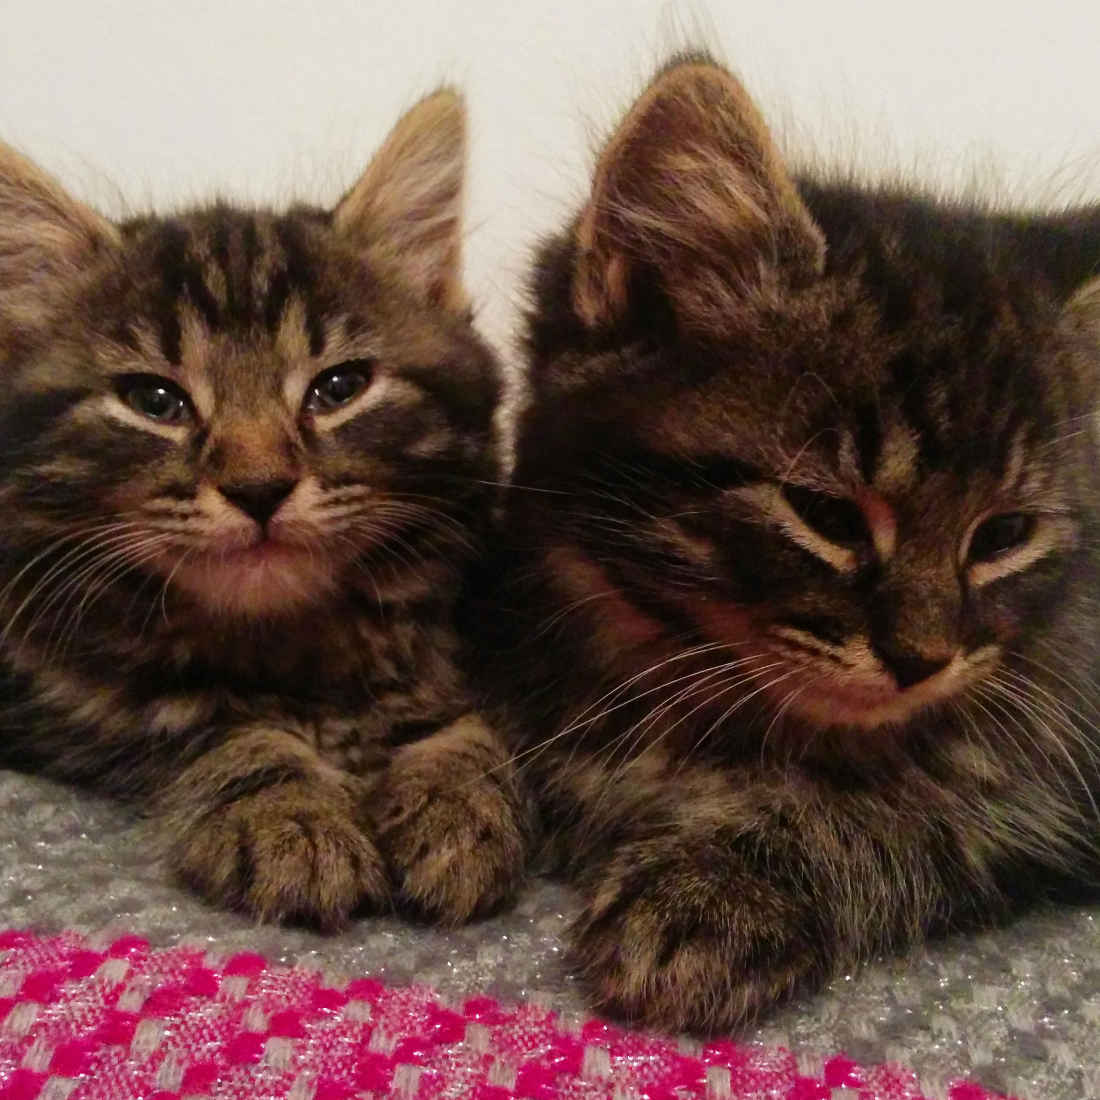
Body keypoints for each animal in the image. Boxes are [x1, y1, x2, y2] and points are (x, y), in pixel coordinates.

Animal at [0, 90, 532, 928]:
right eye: (155, 401)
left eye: (339, 388)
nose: (259, 488)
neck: (291, 646)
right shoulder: (60, 700)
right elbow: (219, 729)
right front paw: (291, 814)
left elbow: (469, 721)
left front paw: (458, 798)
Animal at [477, 55, 1100, 1025]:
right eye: (827, 515)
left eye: (1004, 534)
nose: (923, 660)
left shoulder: (1056, 763)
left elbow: (912, 807)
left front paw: (713, 892)